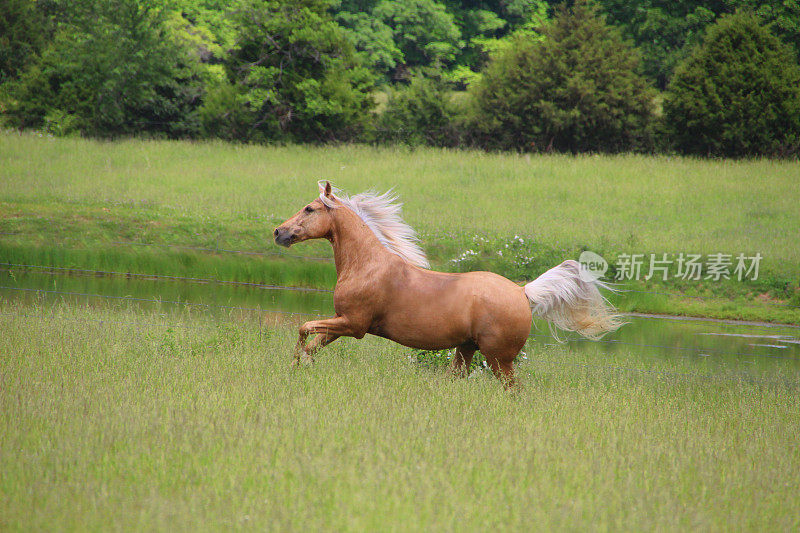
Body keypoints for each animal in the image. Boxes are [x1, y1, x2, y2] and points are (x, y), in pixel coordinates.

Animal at [272, 182, 620, 382]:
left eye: (309, 209)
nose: (278, 232)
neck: (367, 265)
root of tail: (523, 292)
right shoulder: (341, 322)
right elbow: (313, 343)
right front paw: (300, 367)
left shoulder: (353, 324)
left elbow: (303, 329)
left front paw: (295, 366)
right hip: (466, 349)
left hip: (499, 359)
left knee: (513, 390)